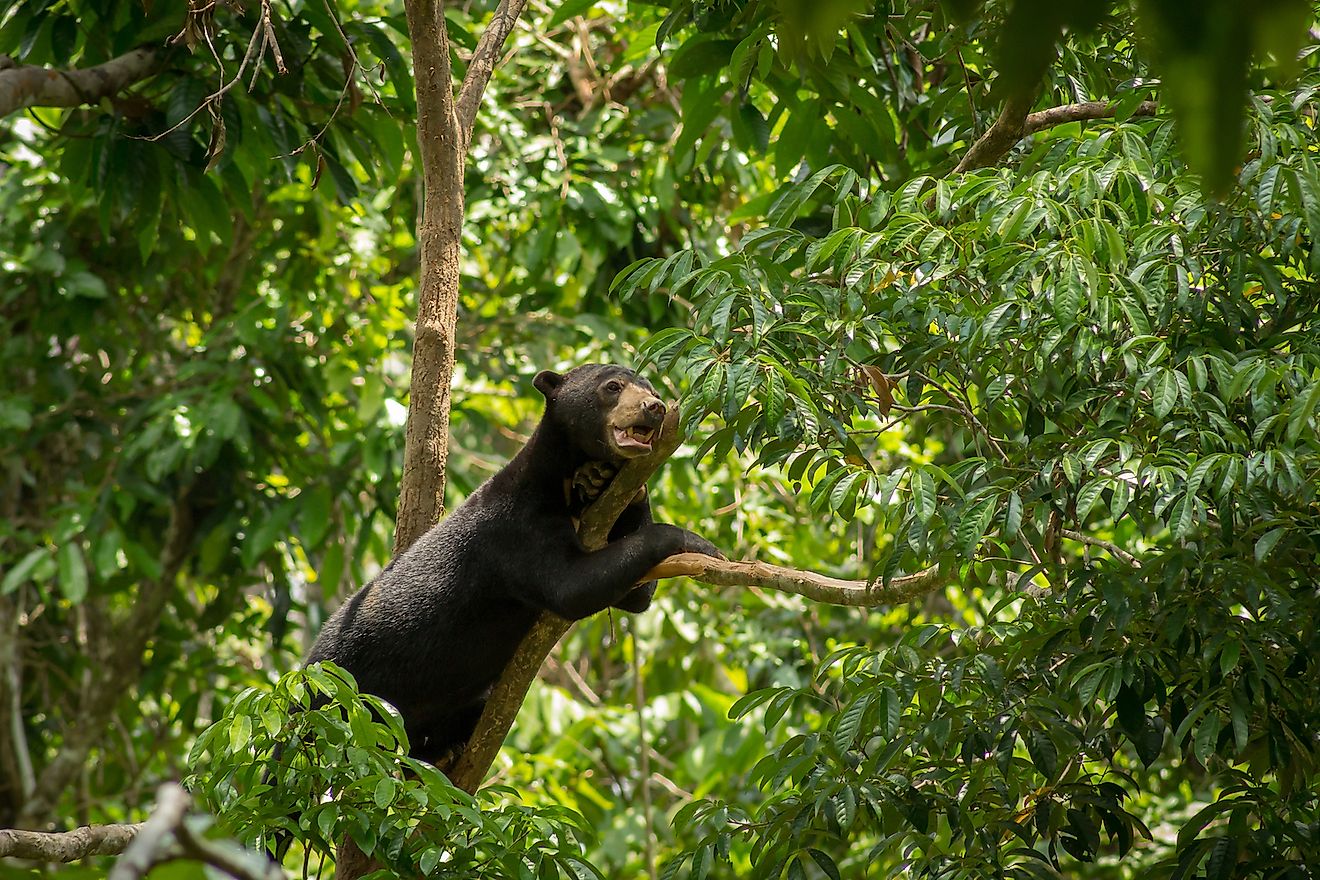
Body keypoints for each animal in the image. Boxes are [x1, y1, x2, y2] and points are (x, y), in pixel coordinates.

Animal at [304, 364, 723, 765]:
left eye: (652, 389)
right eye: (612, 387)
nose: (655, 408)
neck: (557, 481)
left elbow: (634, 596)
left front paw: (600, 479)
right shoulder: (515, 528)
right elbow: (572, 586)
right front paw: (700, 544)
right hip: (340, 694)